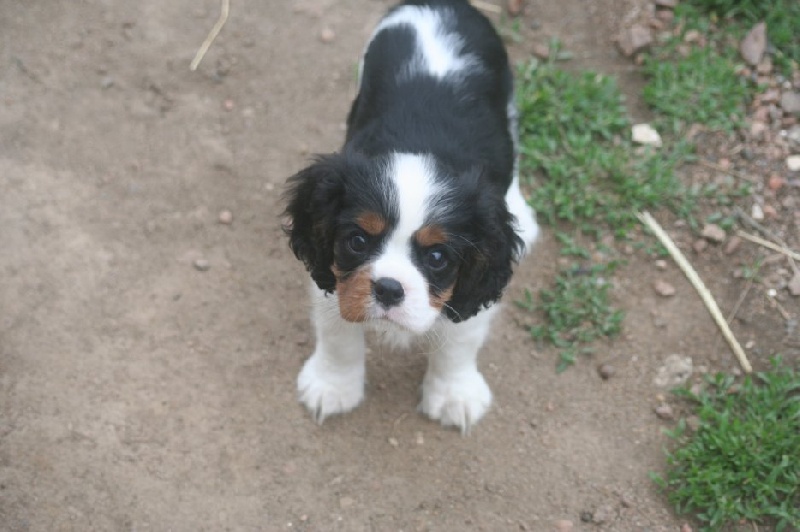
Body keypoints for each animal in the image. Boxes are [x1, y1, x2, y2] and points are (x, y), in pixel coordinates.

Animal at [282, 0, 536, 432]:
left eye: (436, 257)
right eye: (357, 241)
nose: (388, 288)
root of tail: (439, 6)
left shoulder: (472, 286)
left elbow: (459, 341)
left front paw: (454, 394)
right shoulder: (333, 277)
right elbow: (338, 333)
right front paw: (333, 386)